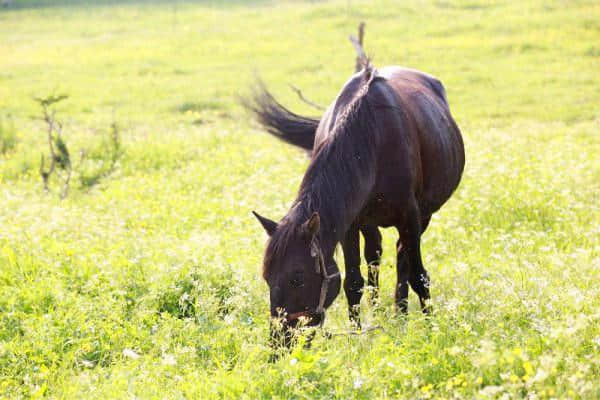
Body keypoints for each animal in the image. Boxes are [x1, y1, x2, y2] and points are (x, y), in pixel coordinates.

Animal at [246, 64, 466, 346]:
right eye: (267, 277)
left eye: (297, 278)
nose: (280, 342)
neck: (371, 139)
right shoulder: (348, 226)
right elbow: (353, 282)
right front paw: (357, 336)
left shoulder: (411, 217)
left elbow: (419, 276)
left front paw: (432, 329)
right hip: (369, 223)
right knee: (376, 253)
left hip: (421, 218)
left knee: (402, 257)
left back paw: (401, 312)